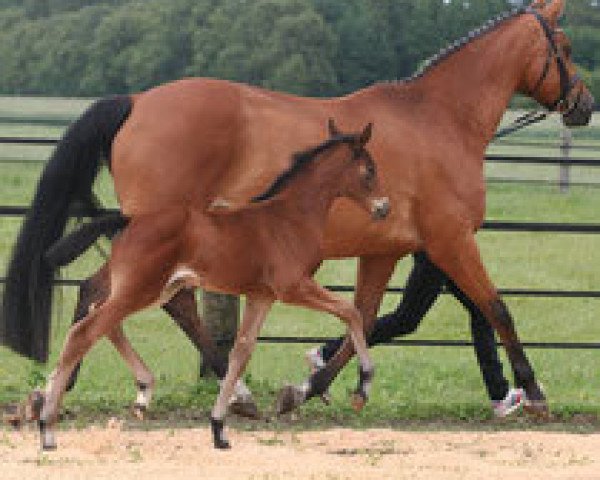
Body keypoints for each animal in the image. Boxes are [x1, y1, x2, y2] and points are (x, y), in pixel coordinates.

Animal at [0, 0, 592, 418]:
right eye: (563, 45)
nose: (584, 105)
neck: (436, 119)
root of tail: (138, 101)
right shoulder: (450, 239)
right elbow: (496, 309)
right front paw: (535, 392)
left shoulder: (387, 250)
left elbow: (366, 318)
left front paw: (308, 388)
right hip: (161, 237)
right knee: (157, 301)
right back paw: (227, 392)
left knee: (118, 298)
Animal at [34, 122, 390, 452]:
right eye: (370, 170)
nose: (384, 207)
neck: (290, 218)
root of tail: (128, 219)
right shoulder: (293, 287)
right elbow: (351, 312)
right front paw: (363, 386)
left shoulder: (261, 297)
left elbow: (240, 353)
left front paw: (219, 429)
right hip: (141, 289)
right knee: (84, 332)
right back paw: (48, 428)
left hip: (150, 289)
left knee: (100, 317)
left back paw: (138, 391)